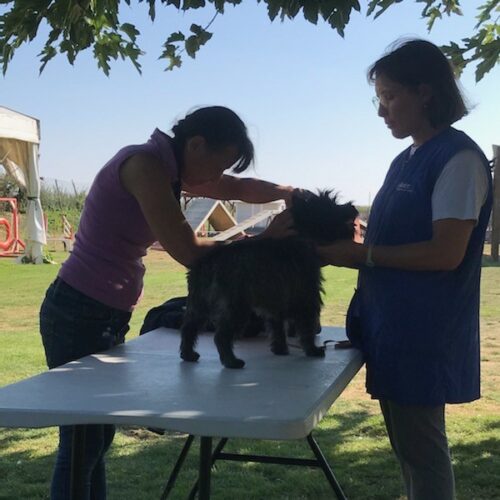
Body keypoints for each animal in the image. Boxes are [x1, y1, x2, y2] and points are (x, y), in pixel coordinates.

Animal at [180, 189, 360, 370]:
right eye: (331, 206)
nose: (352, 208)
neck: (299, 237)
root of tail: (207, 262)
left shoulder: (276, 304)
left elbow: (277, 328)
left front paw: (280, 349)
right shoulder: (306, 298)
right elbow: (306, 328)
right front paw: (312, 349)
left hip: (200, 304)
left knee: (189, 328)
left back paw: (188, 354)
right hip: (236, 307)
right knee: (221, 335)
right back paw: (232, 361)